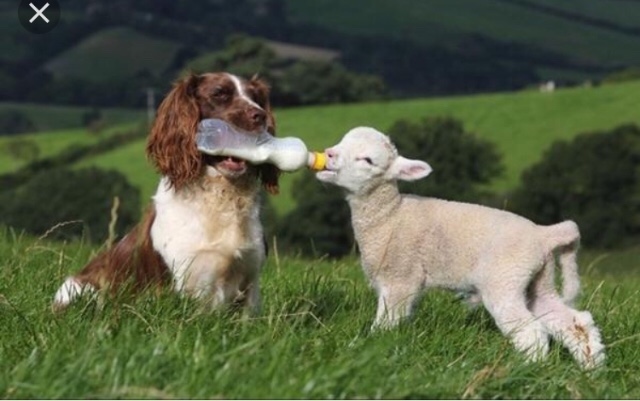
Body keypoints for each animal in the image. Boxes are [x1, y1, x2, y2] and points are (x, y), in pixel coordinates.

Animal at [53, 72, 279, 313]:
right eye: (219, 94)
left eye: (255, 97)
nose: (260, 116)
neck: (220, 196)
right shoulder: (184, 282)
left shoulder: (250, 281)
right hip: (81, 289)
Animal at [316, 126, 605, 369]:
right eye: (342, 141)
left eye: (367, 160)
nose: (328, 154)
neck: (389, 216)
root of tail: (544, 235)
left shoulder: (400, 278)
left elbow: (387, 322)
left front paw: (369, 348)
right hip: (539, 280)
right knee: (575, 322)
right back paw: (592, 368)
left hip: (504, 280)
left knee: (531, 331)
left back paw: (527, 369)